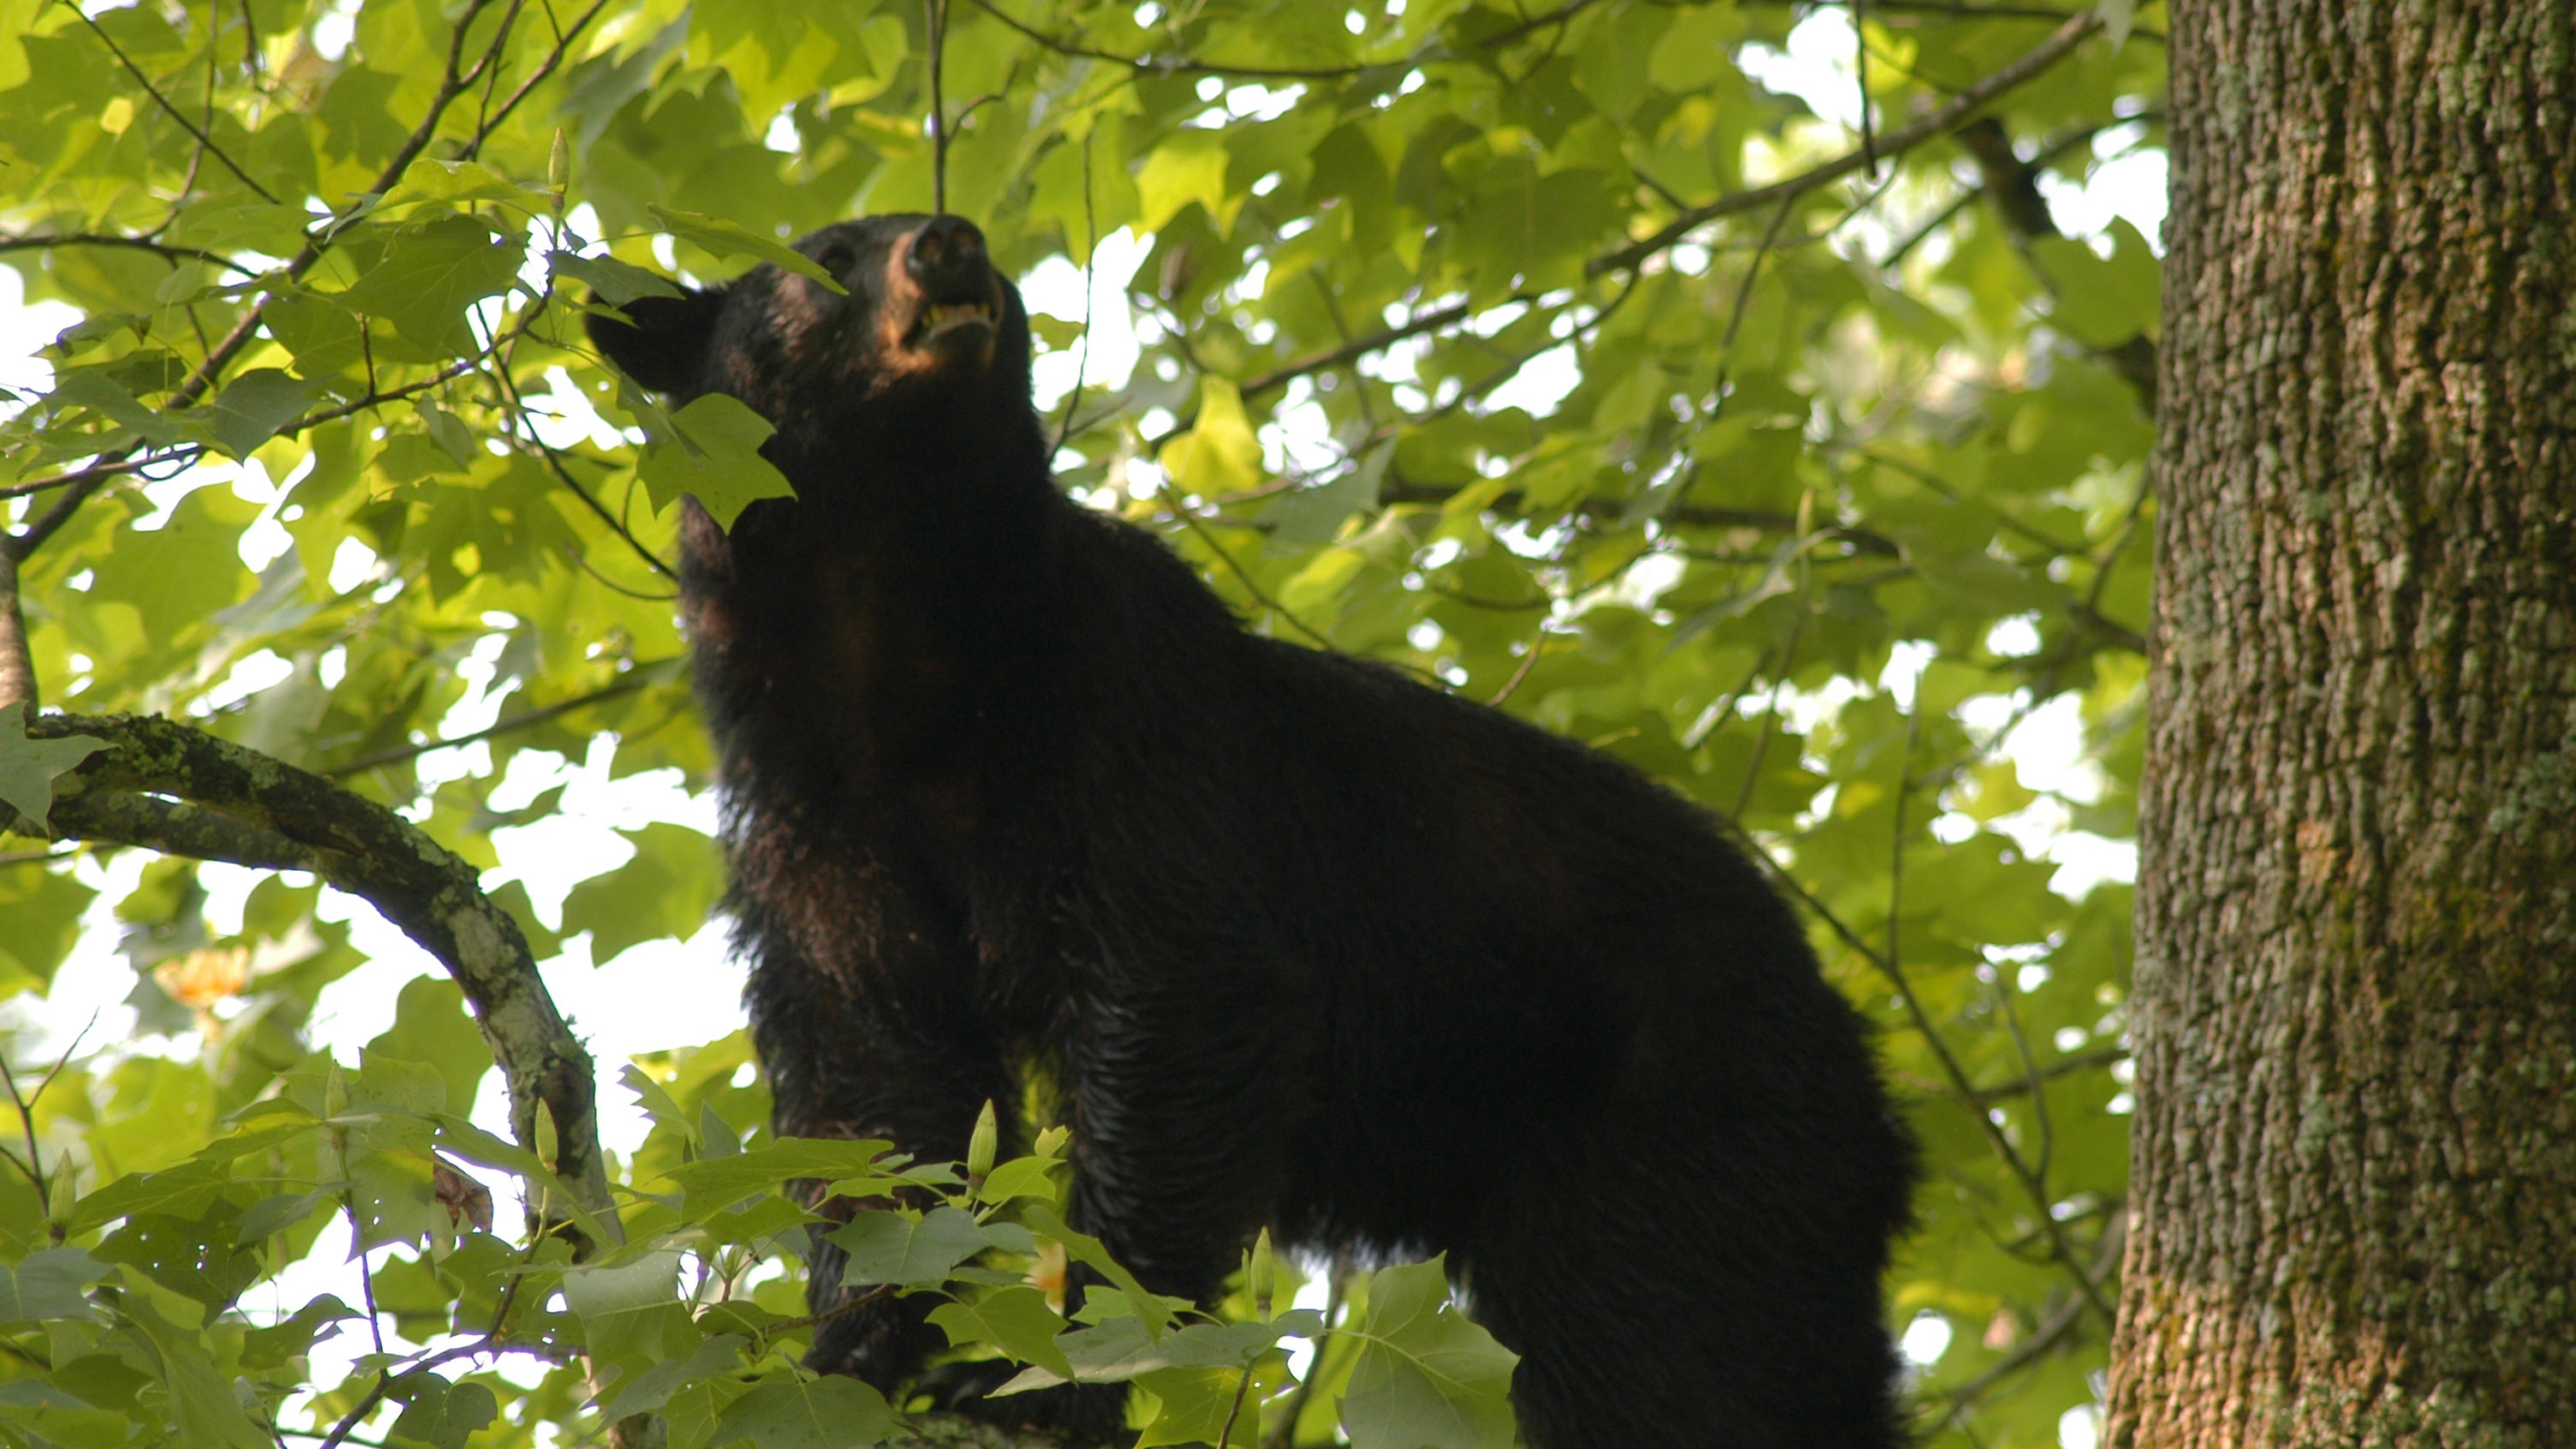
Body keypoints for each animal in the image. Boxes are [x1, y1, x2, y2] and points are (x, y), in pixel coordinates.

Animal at [588, 212, 1918, 1448]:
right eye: (825, 257)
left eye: (966, 234)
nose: (948, 244)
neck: (901, 640)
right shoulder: (803, 801)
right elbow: (875, 1072)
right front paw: (863, 1342)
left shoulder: (1123, 698)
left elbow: (1177, 991)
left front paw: (1057, 1371)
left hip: (1683, 1126)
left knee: (1662, 1355)